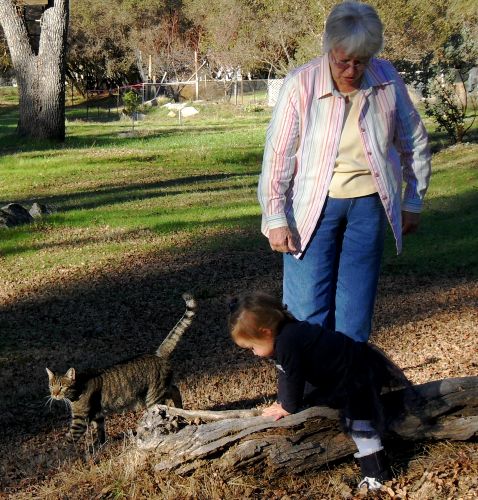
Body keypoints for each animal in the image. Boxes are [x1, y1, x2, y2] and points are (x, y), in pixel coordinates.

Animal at [46, 292, 196, 444]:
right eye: (51, 386)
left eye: (62, 387)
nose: (54, 394)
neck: (78, 388)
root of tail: (157, 355)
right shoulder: (98, 416)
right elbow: (100, 431)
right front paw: (100, 444)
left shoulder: (80, 420)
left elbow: (68, 441)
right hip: (159, 391)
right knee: (175, 389)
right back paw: (181, 409)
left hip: (154, 398)